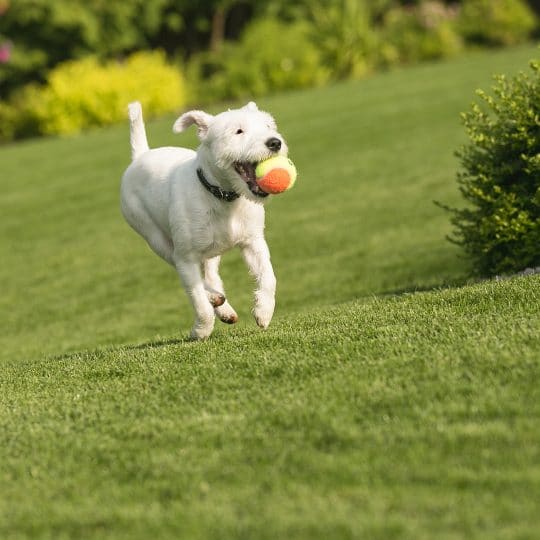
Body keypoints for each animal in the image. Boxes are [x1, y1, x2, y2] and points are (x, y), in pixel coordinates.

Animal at [120, 99, 288, 340]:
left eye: (268, 126)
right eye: (238, 131)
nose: (275, 142)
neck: (222, 196)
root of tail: (141, 156)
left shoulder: (253, 242)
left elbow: (268, 276)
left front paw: (263, 311)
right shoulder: (186, 258)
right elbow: (198, 300)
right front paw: (201, 330)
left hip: (210, 248)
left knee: (210, 274)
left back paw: (224, 307)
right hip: (155, 238)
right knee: (187, 273)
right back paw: (213, 299)